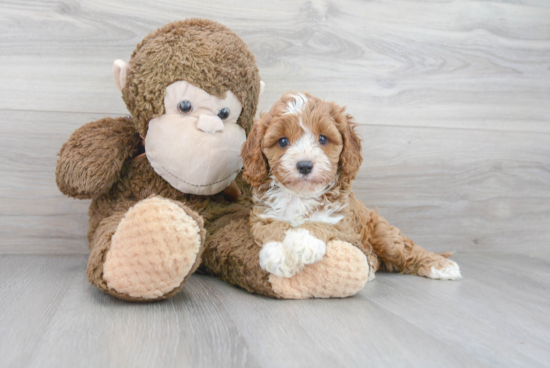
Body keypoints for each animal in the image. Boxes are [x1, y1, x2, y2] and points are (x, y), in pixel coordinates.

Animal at [244, 92, 464, 282]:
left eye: (323, 138)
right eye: (282, 141)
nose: (305, 165)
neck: (302, 195)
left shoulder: (346, 226)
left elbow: (322, 223)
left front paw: (303, 242)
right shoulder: (262, 215)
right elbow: (272, 227)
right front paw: (277, 255)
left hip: (383, 235)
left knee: (407, 250)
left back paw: (441, 266)